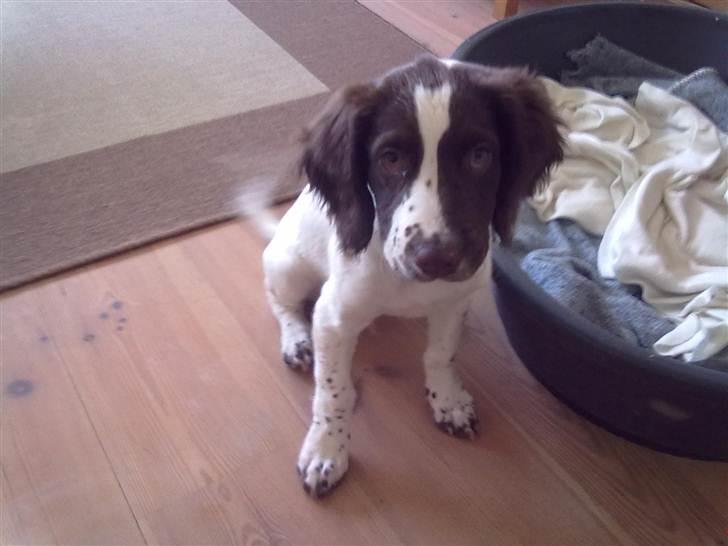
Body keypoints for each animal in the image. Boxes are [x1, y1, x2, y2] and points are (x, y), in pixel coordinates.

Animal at [262, 54, 564, 492]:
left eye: (480, 155)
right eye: (390, 159)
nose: (435, 258)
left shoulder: (454, 299)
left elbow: (441, 353)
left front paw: (448, 400)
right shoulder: (333, 318)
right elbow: (334, 391)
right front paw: (325, 450)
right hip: (289, 266)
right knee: (280, 301)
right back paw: (296, 339)